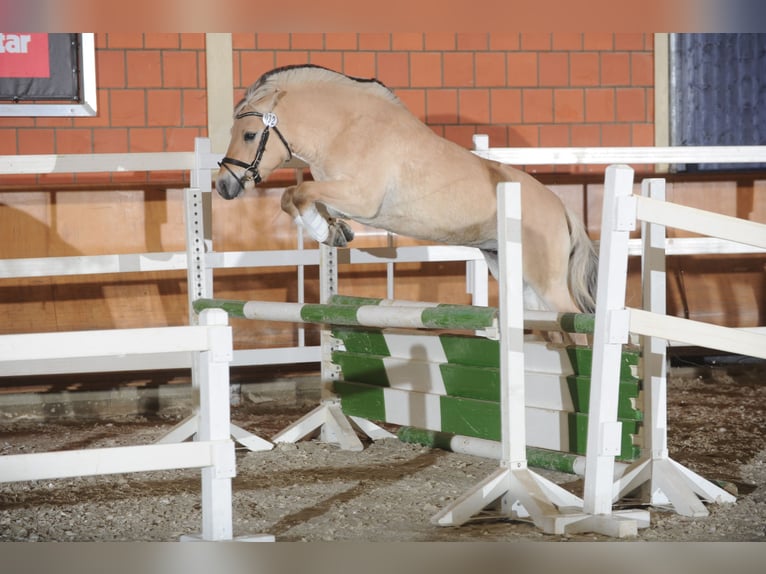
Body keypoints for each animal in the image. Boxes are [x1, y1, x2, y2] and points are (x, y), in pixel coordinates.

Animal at [216, 64, 598, 314]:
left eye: (249, 135)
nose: (222, 186)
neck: (346, 128)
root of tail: (561, 209)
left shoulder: (361, 198)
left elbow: (299, 193)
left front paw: (324, 231)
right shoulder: (340, 195)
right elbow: (294, 198)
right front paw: (334, 232)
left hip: (546, 283)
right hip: (519, 279)